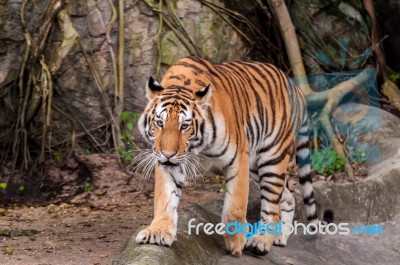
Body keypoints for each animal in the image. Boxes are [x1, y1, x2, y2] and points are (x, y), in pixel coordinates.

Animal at [134, 56, 318, 256]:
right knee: (288, 195)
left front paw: (236, 244)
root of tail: (295, 87)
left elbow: (235, 207)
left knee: (272, 206)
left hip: (272, 158)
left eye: (184, 126)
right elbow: (165, 198)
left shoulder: (238, 158)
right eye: (159, 123)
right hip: (257, 166)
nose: (168, 154)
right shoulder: (169, 164)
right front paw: (157, 232)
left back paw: (261, 241)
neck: (197, 147)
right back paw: (280, 237)